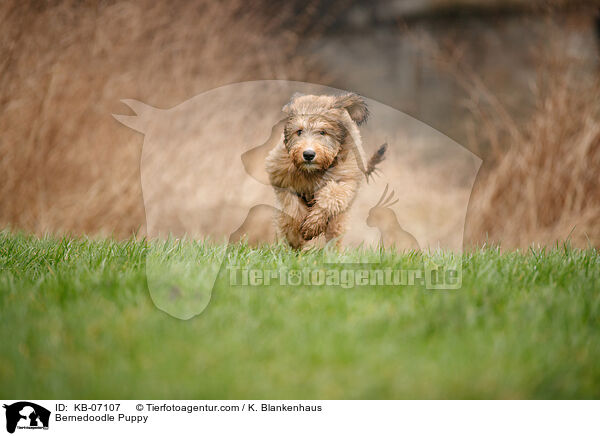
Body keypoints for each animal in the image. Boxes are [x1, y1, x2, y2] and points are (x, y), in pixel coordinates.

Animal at [266, 92, 384, 249]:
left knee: (334, 232)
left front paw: (313, 224)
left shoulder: (346, 179)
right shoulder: (280, 176)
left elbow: (332, 196)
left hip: (339, 219)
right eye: (299, 131)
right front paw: (297, 230)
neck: (314, 171)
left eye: (323, 132)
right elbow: (291, 205)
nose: (308, 154)